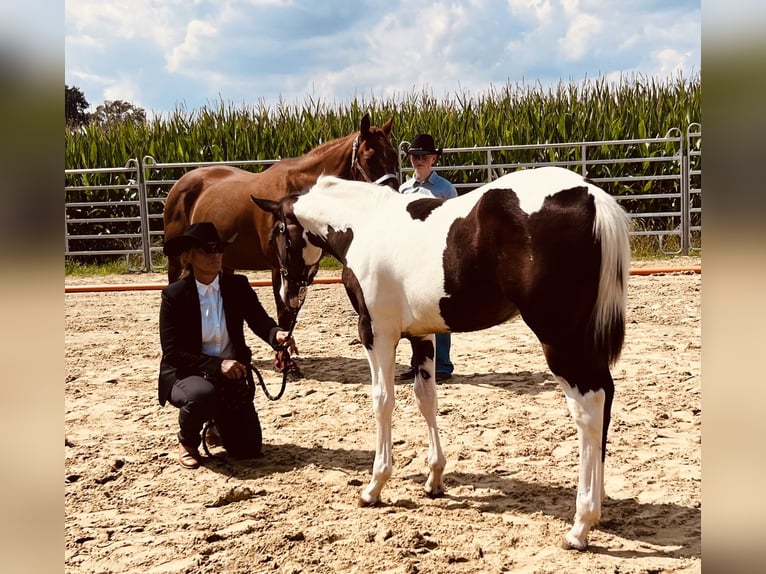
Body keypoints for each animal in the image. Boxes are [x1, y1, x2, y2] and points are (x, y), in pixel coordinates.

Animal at [164, 112, 400, 328]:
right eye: (369, 158)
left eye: (394, 156)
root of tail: (180, 183)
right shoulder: (280, 268)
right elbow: (284, 317)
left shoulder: (304, 271)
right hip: (175, 260)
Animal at [252, 168, 632, 552]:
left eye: (277, 233)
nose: (287, 295)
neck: (364, 224)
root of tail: (589, 197)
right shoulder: (422, 335)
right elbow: (426, 399)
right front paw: (434, 479)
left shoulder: (377, 333)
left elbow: (382, 401)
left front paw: (374, 487)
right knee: (606, 397)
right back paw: (598, 507)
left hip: (559, 338)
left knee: (589, 408)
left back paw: (581, 525)